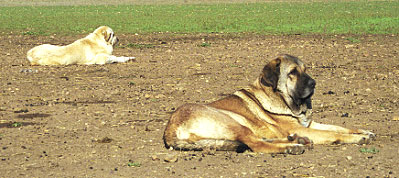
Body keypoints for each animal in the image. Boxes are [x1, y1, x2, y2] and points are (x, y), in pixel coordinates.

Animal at [162, 54, 376, 154]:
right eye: (293, 72)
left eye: (306, 69)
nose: (314, 83)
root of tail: (170, 129)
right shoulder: (304, 127)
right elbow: (334, 134)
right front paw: (359, 138)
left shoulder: (308, 125)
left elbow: (339, 127)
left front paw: (364, 131)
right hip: (233, 120)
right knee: (256, 144)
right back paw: (293, 146)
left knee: (259, 140)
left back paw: (297, 141)